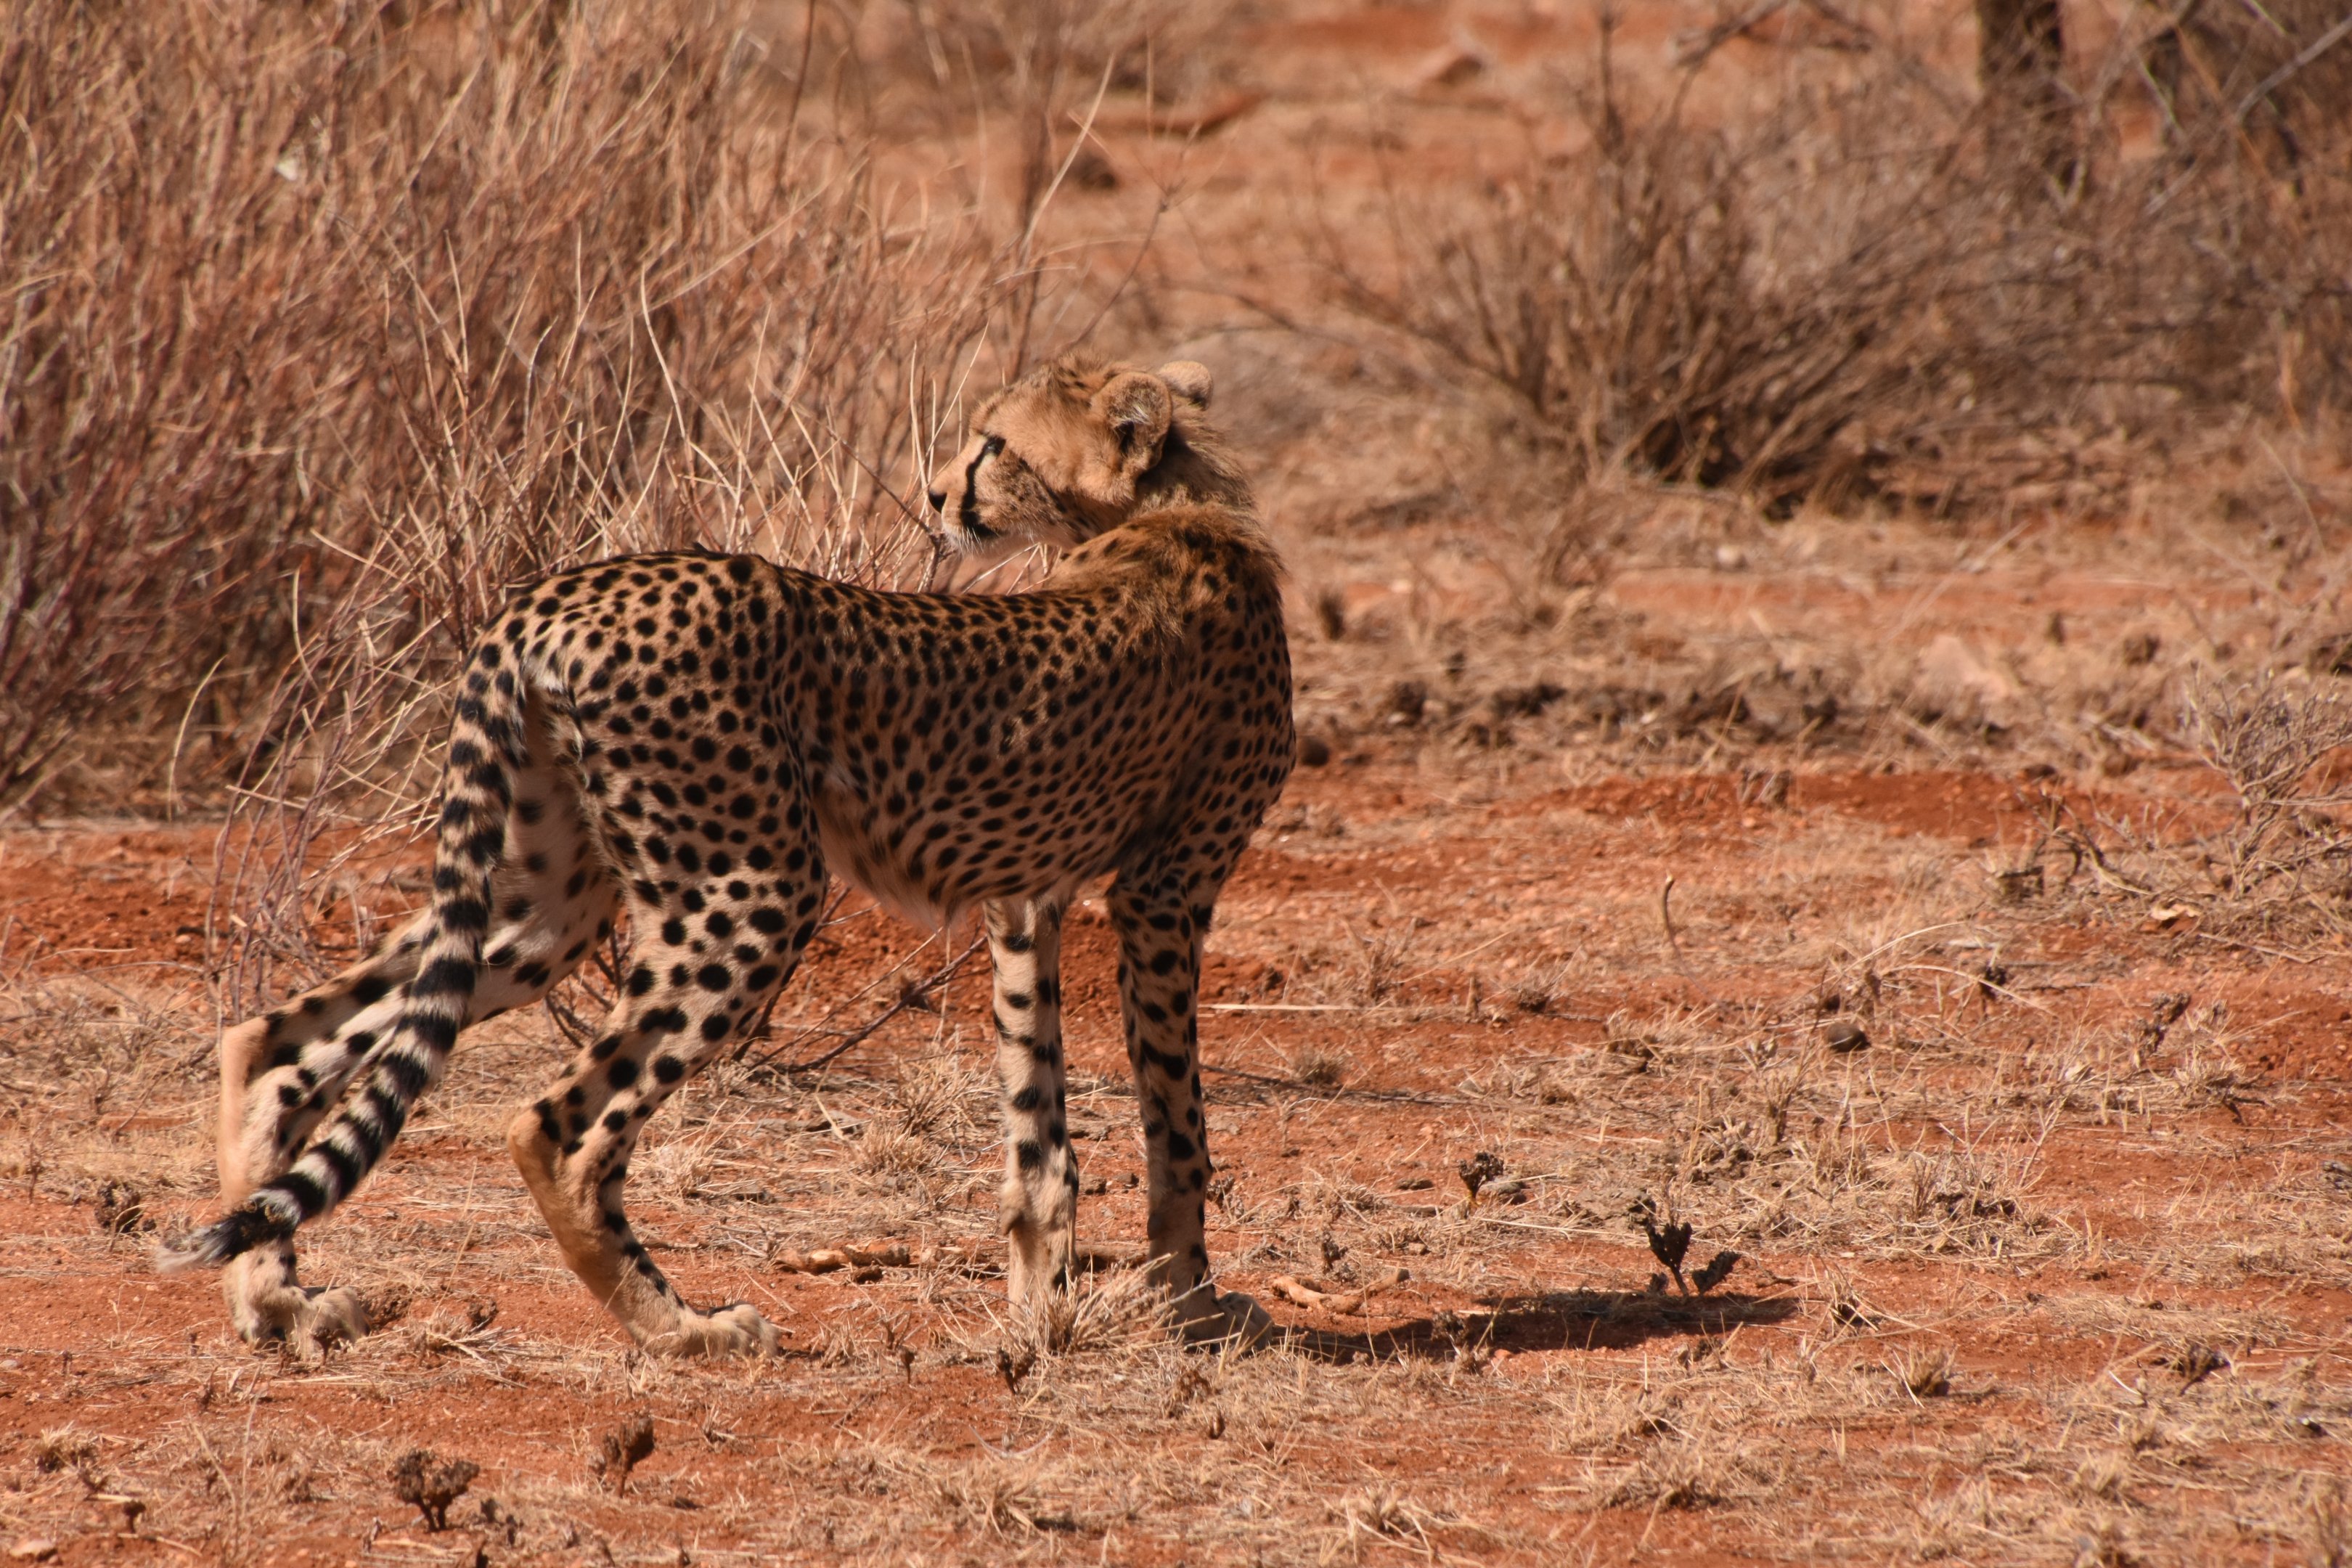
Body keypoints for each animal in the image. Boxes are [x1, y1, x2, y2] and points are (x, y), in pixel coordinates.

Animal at [159, 353, 1296, 1358]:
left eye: (997, 446)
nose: (936, 492)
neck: (1171, 512)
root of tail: (555, 592)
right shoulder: (1164, 893)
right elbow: (1178, 1120)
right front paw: (1189, 1301)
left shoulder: (1028, 898)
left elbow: (1039, 1121)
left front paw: (1043, 1308)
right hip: (754, 891)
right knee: (554, 1129)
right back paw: (683, 1331)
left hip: (545, 904)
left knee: (277, 1044)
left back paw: (274, 1298)